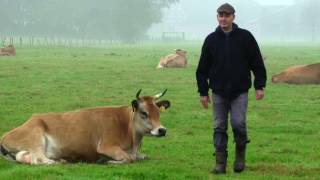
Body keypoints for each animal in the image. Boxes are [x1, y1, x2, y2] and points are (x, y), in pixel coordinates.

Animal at [0, 89, 170, 165]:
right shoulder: (106, 145)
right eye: (144, 113)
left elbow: (142, 156)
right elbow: (129, 158)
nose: (162, 130)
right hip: (35, 135)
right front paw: (110, 161)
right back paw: (62, 161)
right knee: (38, 159)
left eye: (158, 113)